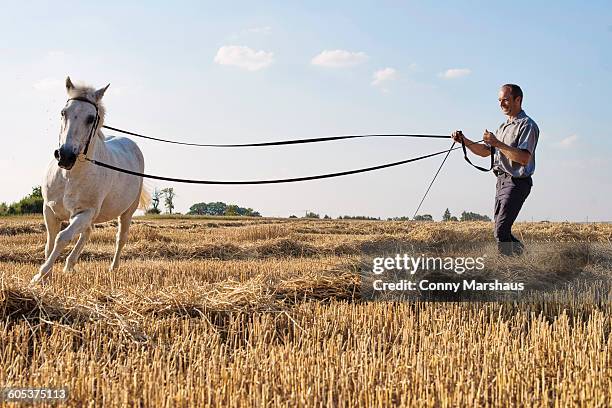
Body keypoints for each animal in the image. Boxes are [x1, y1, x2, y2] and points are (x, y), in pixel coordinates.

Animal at [31, 78, 149, 286]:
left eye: (91, 118)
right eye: (63, 112)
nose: (65, 156)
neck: (69, 176)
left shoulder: (84, 212)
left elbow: (62, 238)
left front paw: (40, 275)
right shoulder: (50, 210)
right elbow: (50, 243)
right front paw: (47, 276)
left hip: (126, 212)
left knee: (120, 238)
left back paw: (112, 268)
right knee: (87, 232)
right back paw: (70, 265)